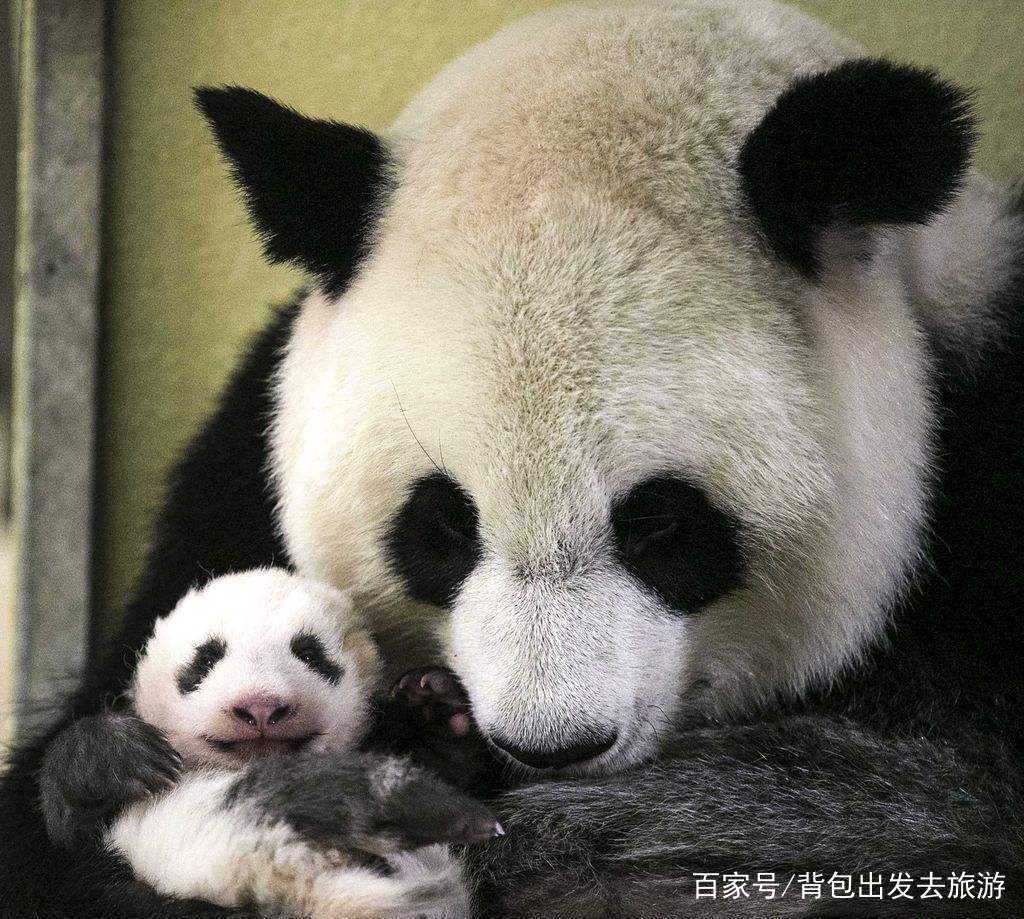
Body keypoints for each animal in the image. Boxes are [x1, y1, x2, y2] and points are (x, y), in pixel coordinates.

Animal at [38, 565, 499, 917]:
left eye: (310, 653)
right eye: (207, 658)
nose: (260, 707)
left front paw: (432, 704)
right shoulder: (99, 856)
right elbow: (71, 828)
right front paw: (116, 754)